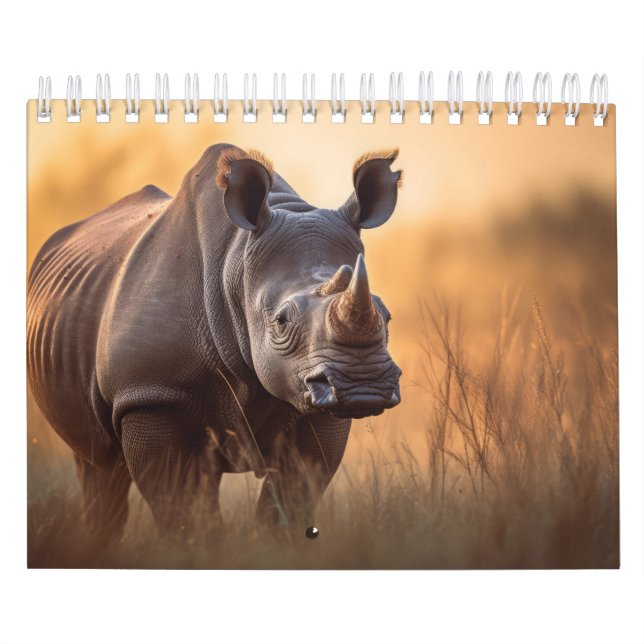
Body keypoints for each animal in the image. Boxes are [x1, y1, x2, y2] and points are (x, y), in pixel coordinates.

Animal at [27, 144, 402, 540]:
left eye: (387, 316)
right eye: (281, 322)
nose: (363, 388)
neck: (235, 263)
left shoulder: (315, 401)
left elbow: (293, 494)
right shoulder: (149, 392)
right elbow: (181, 506)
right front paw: (195, 547)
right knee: (99, 462)